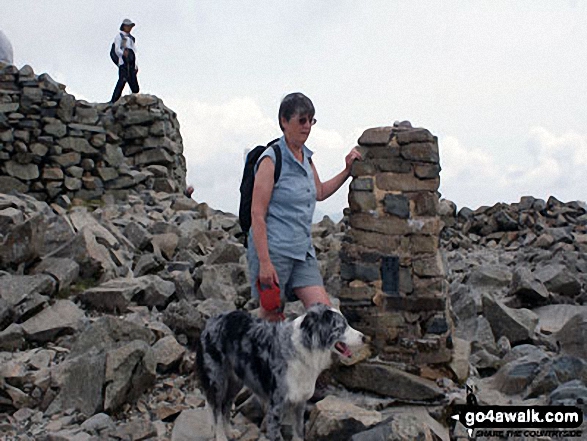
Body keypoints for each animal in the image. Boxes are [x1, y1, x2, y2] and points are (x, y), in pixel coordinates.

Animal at [195, 302, 366, 440]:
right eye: (341, 327)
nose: (364, 338)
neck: (303, 349)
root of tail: (211, 321)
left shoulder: (300, 403)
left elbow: (299, 432)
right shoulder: (275, 407)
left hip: (236, 381)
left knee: (226, 405)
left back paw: (230, 432)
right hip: (217, 381)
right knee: (216, 411)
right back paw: (221, 437)